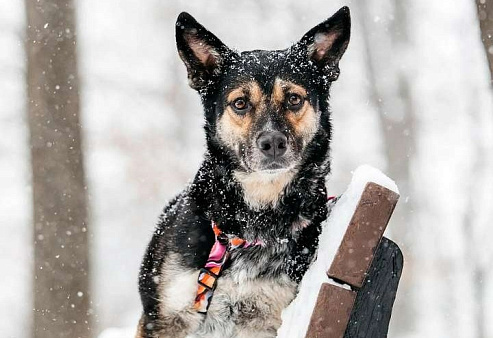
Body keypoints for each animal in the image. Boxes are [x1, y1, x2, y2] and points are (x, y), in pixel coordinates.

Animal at [136, 7, 348, 338]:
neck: (255, 217)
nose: (272, 142)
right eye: (240, 103)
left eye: (294, 99)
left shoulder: (262, 321)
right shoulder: (165, 319)